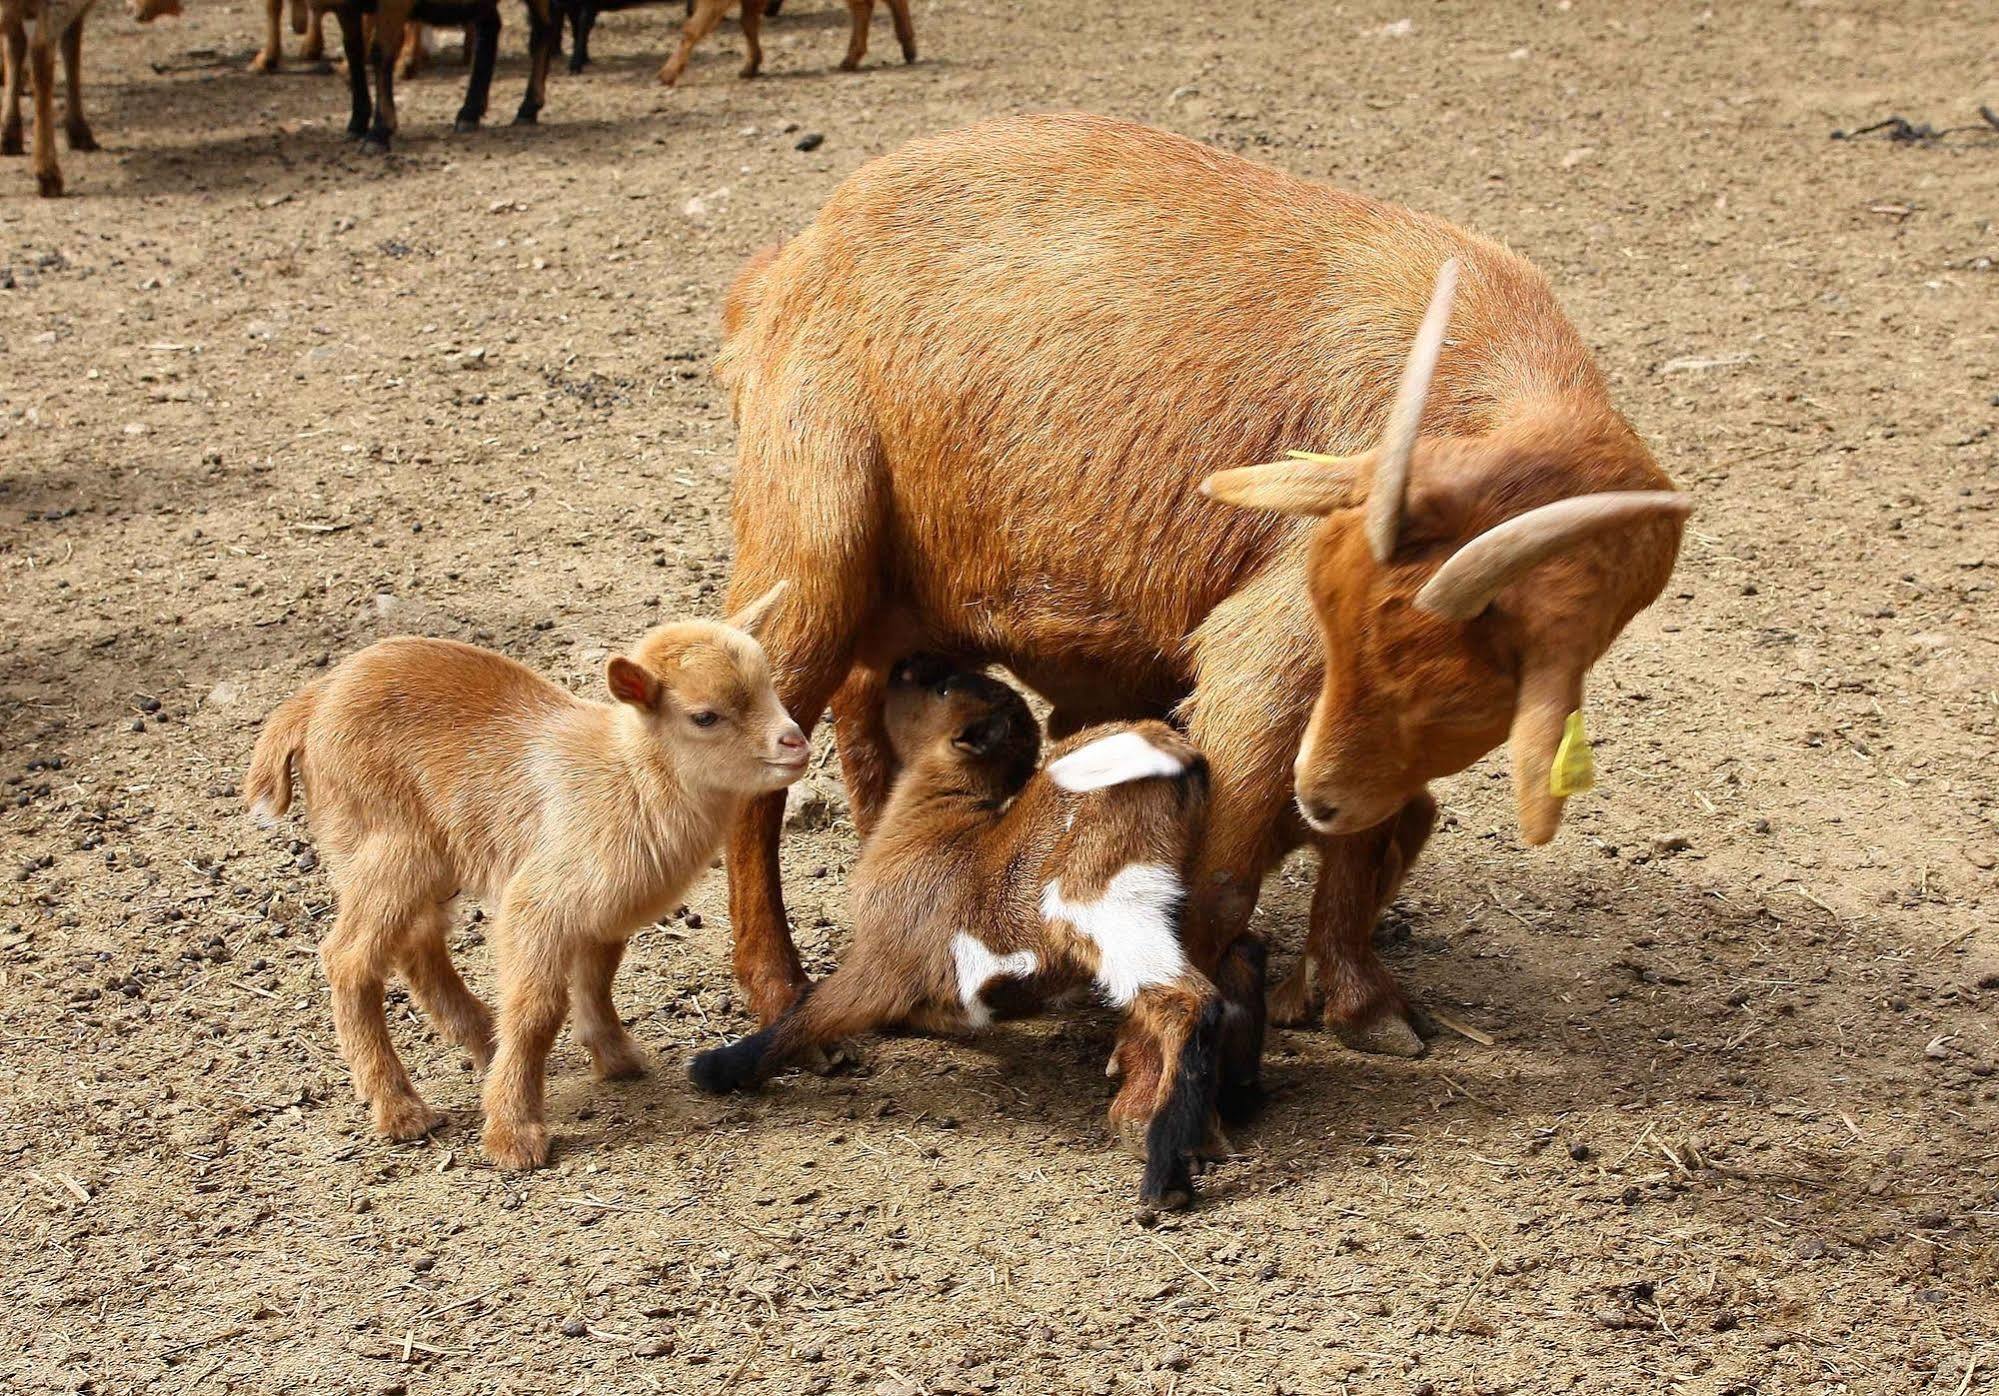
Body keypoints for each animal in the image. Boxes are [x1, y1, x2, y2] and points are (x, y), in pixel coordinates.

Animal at [245, 580, 807, 1168]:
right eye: (704, 716)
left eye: (768, 685)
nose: (795, 742)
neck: (630, 779)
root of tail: (313, 700)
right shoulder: (538, 901)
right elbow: (536, 1008)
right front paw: (514, 1136)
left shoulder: (604, 909)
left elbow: (597, 978)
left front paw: (617, 1058)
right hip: (387, 845)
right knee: (351, 959)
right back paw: (400, 1110)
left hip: (421, 856)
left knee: (418, 943)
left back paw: (483, 1043)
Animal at [719, 111, 1687, 1112]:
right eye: (1328, 608)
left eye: (1457, 689)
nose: (1314, 796)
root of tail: (791, 260)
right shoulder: (1263, 660)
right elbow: (1221, 874)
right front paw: (1155, 1057)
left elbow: (1370, 833)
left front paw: (1356, 1003)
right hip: (810, 543)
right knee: (756, 775)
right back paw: (781, 995)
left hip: (898, 590)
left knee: (869, 708)